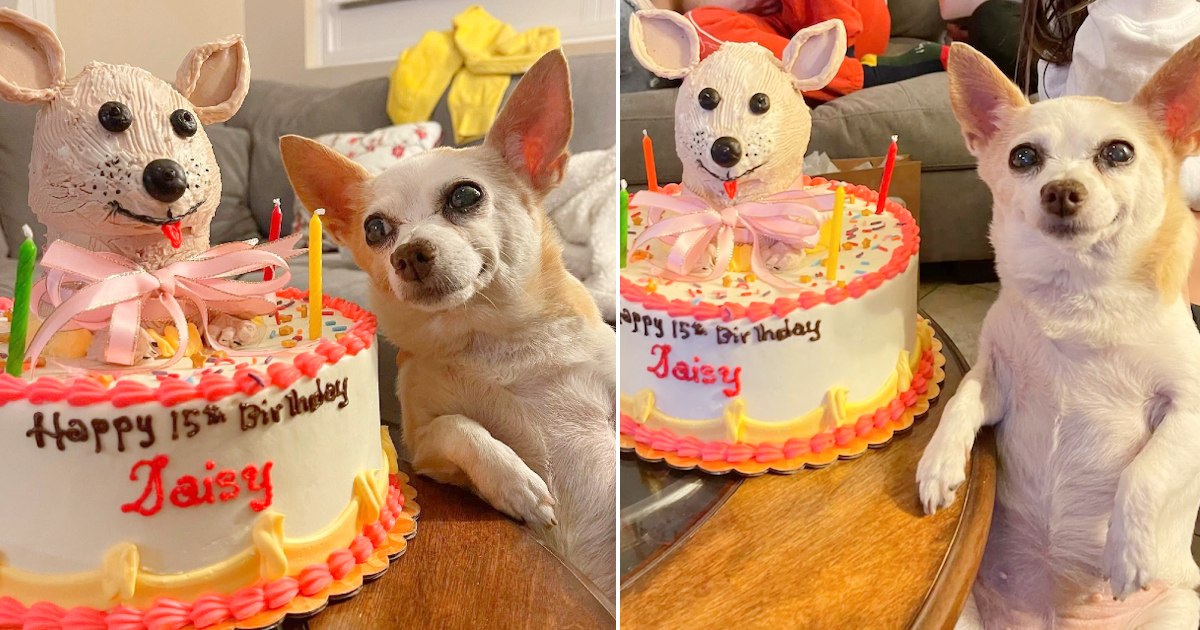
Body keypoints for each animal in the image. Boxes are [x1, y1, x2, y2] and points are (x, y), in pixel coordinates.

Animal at [916, 41, 1200, 624]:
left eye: (1119, 152)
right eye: (1022, 157)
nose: (1061, 191)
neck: (1077, 293)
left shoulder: (1188, 411)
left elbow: (1145, 472)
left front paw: (1127, 552)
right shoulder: (994, 379)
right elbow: (959, 401)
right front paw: (938, 463)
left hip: (1180, 609)